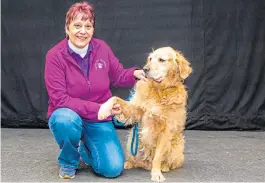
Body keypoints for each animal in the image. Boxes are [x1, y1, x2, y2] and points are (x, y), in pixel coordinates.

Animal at [98, 46, 191, 182]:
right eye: (150, 58)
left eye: (161, 60)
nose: (145, 69)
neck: (158, 90)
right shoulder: (135, 109)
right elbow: (115, 98)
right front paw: (103, 110)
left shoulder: (166, 129)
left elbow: (158, 156)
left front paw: (156, 173)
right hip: (132, 139)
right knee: (134, 157)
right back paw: (128, 163)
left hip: (177, 146)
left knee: (172, 162)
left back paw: (164, 167)